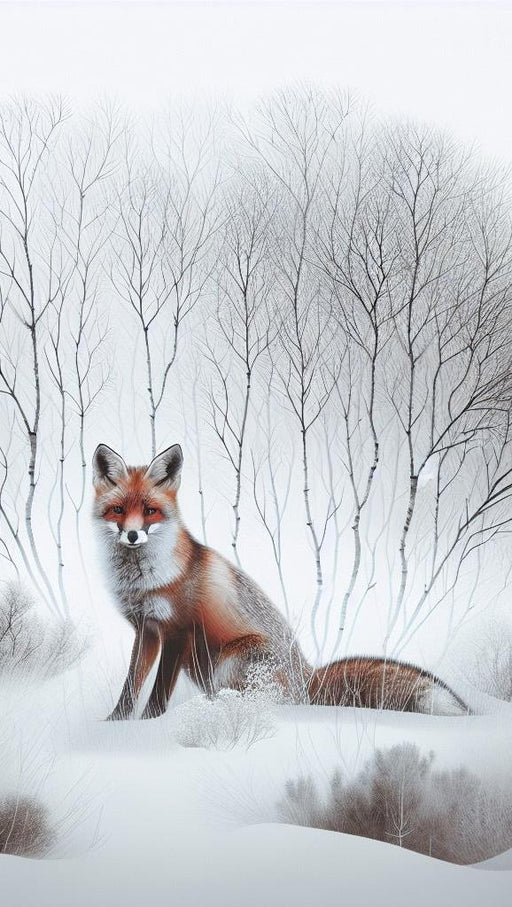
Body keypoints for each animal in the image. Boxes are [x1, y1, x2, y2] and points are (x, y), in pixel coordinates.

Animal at [92, 443, 468, 720]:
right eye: (118, 510)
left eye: (150, 510)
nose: (132, 535)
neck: (142, 579)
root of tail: (308, 679)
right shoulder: (147, 629)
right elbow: (131, 686)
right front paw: (115, 723)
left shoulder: (178, 631)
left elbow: (157, 694)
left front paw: (148, 725)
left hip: (230, 661)